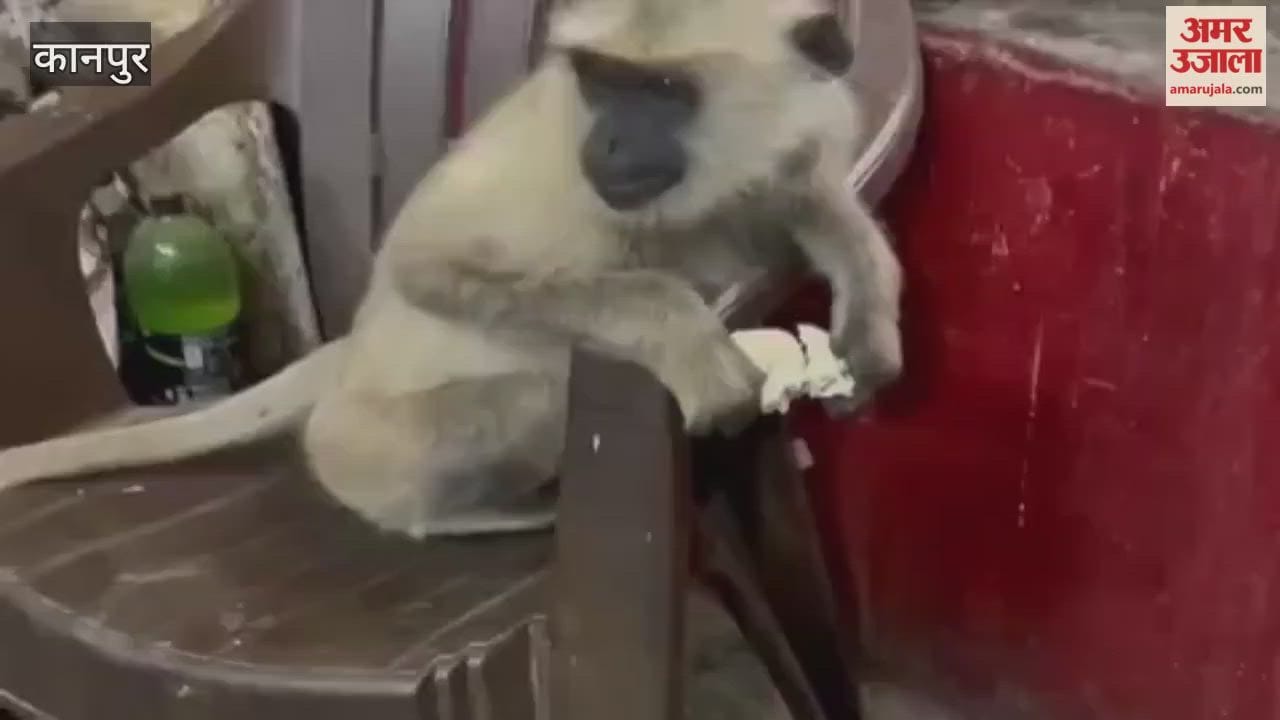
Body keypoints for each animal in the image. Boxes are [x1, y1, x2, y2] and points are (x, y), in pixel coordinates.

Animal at [0, 0, 903, 540]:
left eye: (664, 90)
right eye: (601, 83)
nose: (609, 142)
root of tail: (345, 366)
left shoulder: (799, 132)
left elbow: (807, 196)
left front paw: (867, 315)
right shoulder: (557, 158)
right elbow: (423, 267)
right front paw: (680, 327)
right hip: (367, 441)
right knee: (536, 393)